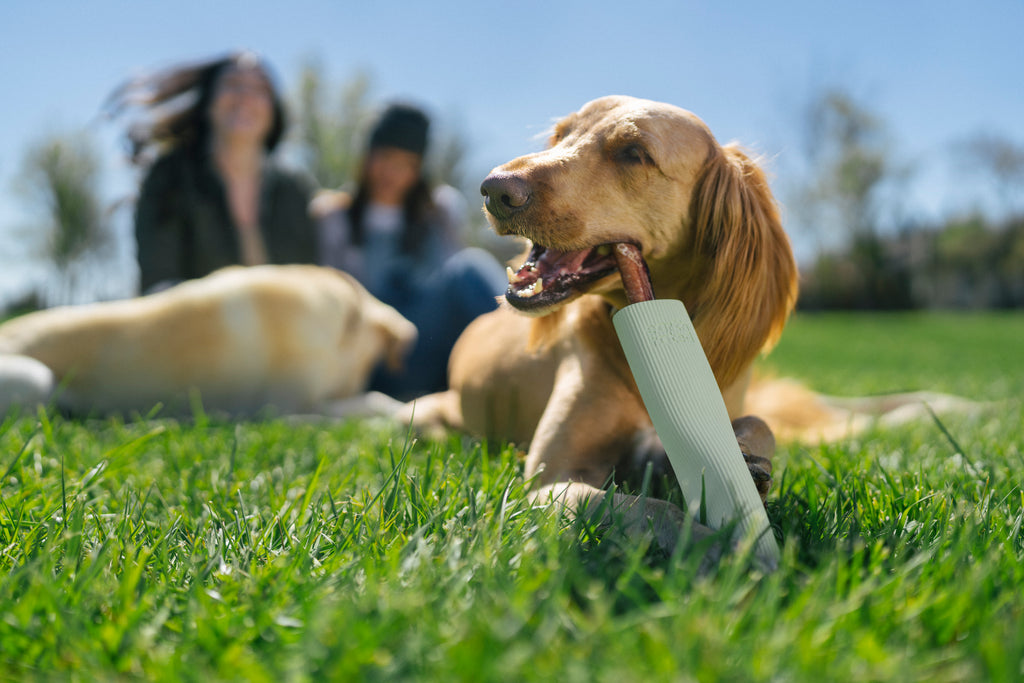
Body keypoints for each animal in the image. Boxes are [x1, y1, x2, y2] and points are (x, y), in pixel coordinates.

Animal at [407, 96, 798, 552]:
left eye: (634, 153)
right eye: (561, 135)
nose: (494, 189)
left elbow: (758, 424)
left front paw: (746, 463)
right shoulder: (549, 480)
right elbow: (645, 507)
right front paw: (715, 547)